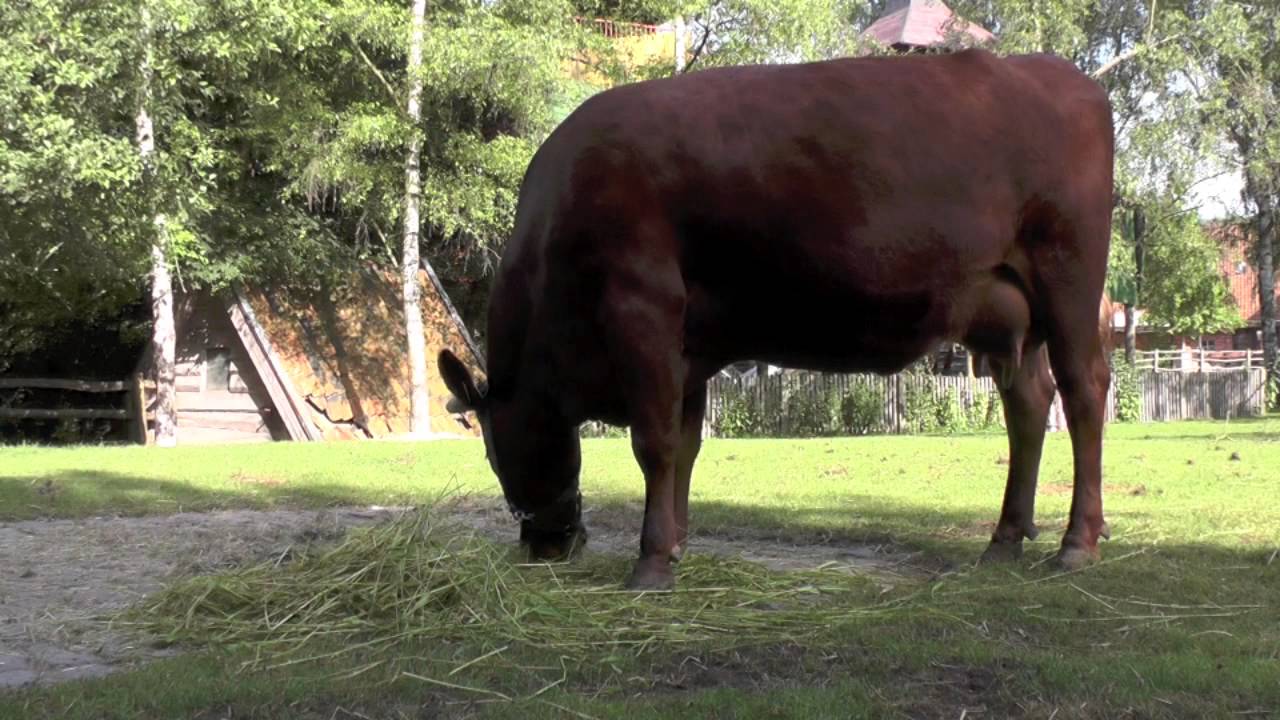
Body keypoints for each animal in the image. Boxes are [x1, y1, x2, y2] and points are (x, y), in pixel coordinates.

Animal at [438, 47, 1115, 591]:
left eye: (494, 454)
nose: (544, 545)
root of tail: (1057, 72)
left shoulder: (644, 308)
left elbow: (655, 443)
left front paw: (651, 563)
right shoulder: (688, 347)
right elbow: (685, 445)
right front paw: (676, 545)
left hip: (1069, 278)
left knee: (1084, 391)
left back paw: (1076, 543)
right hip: (1008, 311)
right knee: (1029, 404)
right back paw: (1004, 541)